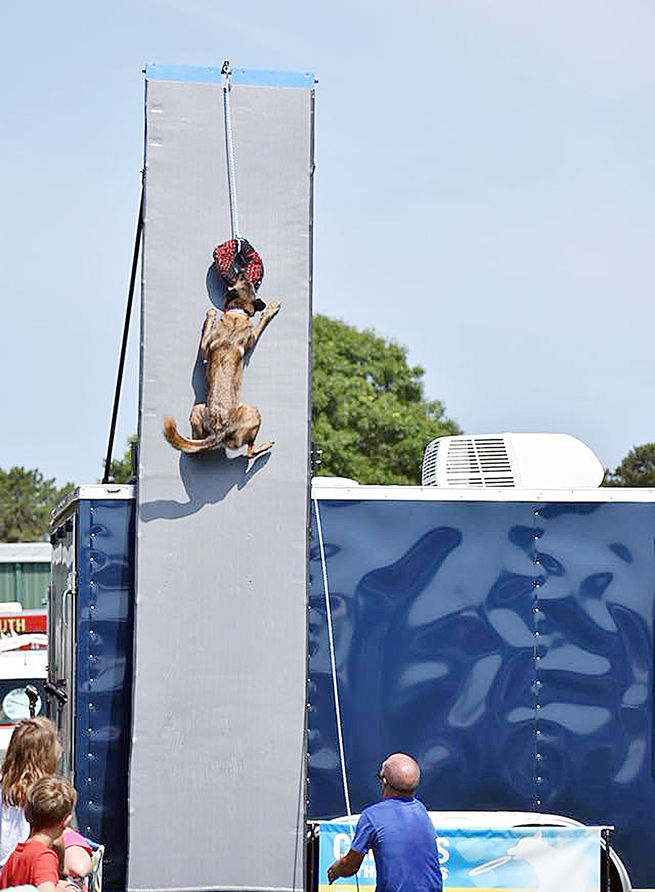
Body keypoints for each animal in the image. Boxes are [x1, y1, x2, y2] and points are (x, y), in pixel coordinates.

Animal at [164, 278, 282, 460]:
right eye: (243, 279)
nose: (243, 273)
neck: (238, 312)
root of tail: (218, 432)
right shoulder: (252, 336)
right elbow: (261, 322)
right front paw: (271, 309)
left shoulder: (205, 347)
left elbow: (206, 332)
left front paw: (211, 315)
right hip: (253, 412)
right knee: (250, 452)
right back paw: (265, 446)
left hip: (198, 409)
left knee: (197, 446)